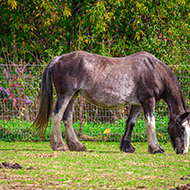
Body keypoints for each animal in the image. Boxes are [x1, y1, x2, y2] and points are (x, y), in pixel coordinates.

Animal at [31, 50, 190, 154]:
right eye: (182, 128)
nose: (183, 151)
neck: (153, 70)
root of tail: (59, 59)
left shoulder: (137, 104)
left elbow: (131, 123)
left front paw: (127, 147)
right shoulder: (148, 101)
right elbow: (150, 124)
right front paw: (156, 148)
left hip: (74, 95)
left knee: (67, 117)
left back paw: (77, 146)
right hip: (66, 94)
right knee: (57, 115)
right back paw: (59, 145)